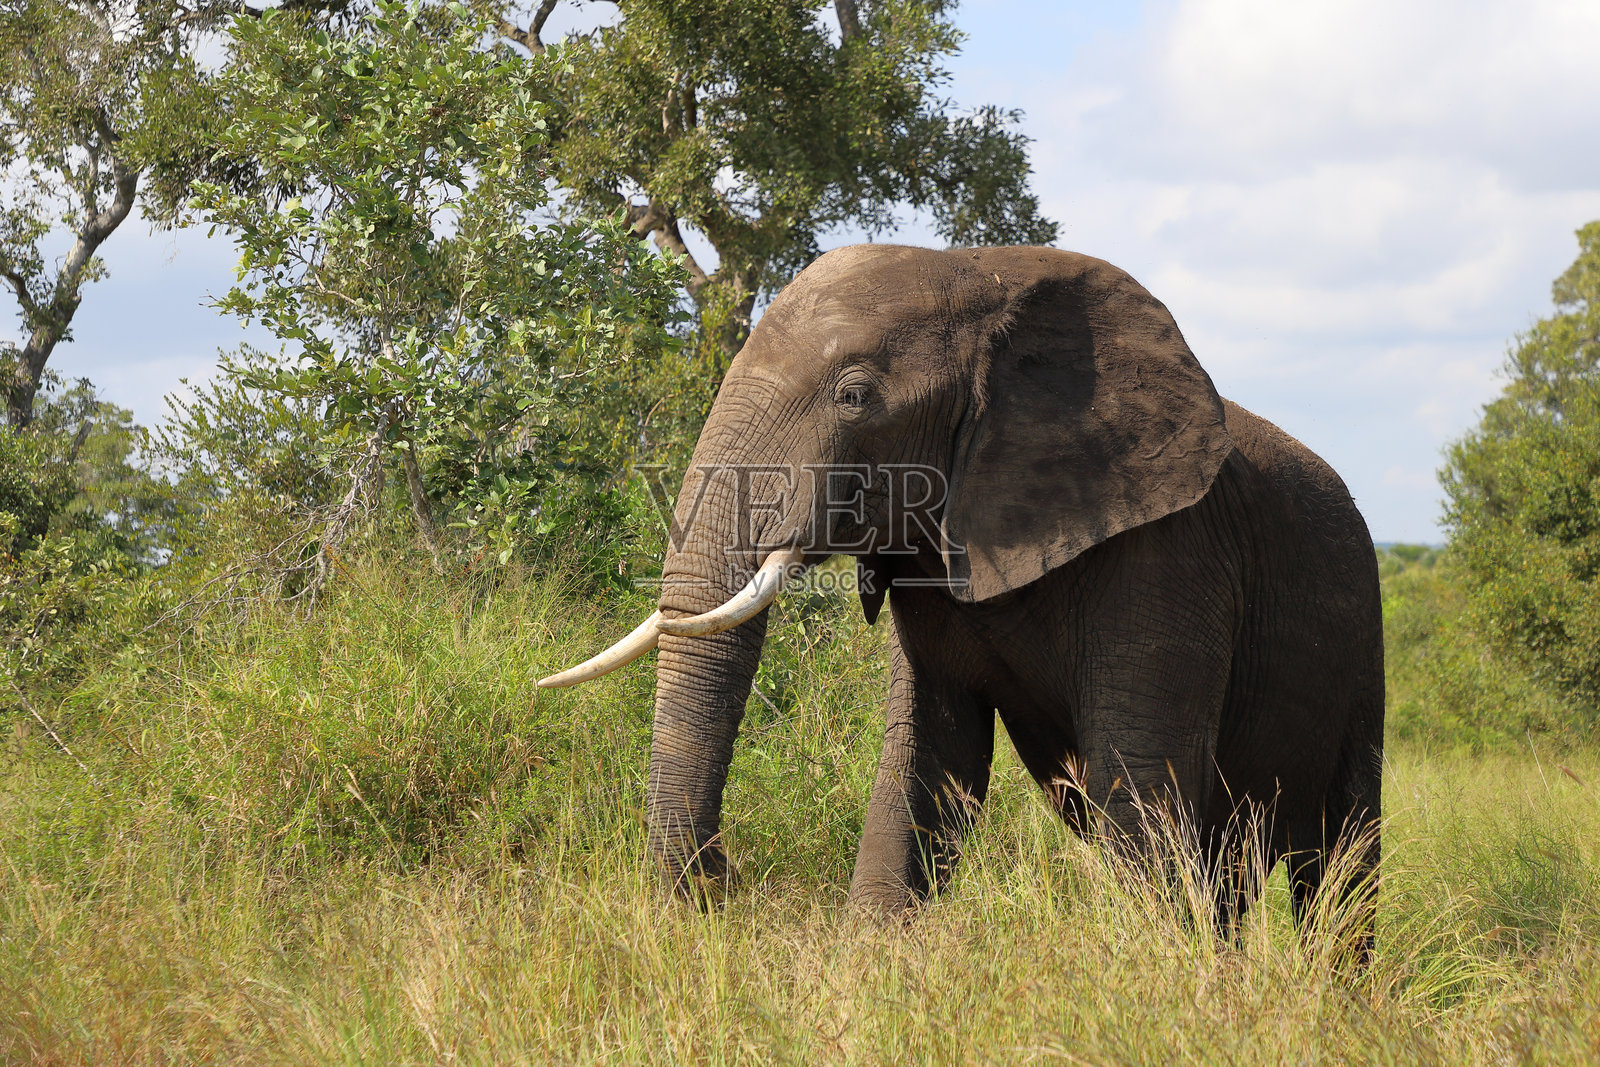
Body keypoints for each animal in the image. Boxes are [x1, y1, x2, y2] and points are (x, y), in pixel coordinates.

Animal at [541, 244, 1384, 942]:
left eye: (854, 396)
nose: (724, 877)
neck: (988, 279)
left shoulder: (1171, 551)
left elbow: (1137, 775)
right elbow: (930, 759)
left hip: (1364, 630)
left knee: (1340, 863)